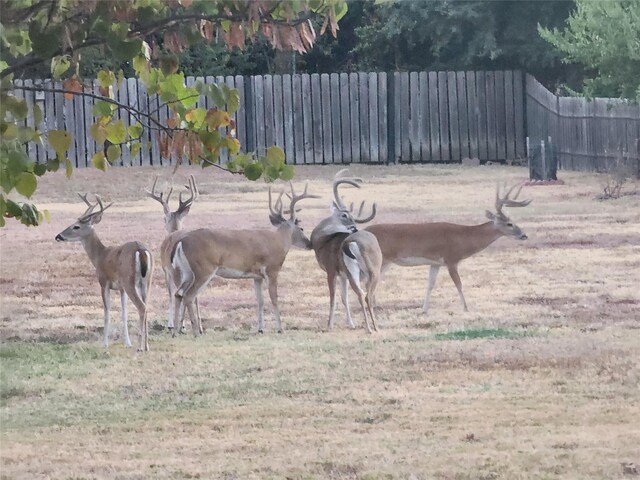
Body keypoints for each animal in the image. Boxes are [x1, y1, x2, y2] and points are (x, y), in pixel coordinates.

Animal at [54, 193, 153, 350]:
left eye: (76, 226)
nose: (58, 236)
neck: (100, 255)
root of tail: (141, 250)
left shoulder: (104, 282)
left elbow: (107, 312)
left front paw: (105, 343)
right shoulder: (121, 288)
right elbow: (124, 313)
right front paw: (127, 342)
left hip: (129, 280)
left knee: (142, 307)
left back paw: (139, 347)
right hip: (147, 281)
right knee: (147, 306)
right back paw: (147, 345)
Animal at [168, 182, 318, 336]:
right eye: (301, 228)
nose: (309, 244)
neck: (279, 241)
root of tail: (181, 241)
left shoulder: (257, 276)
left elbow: (260, 300)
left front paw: (261, 329)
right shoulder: (272, 269)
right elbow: (274, 298)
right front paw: (280, 329)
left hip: (187, 271)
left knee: (178, 294)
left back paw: (176, 332)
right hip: (203, 269)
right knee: (188, 296)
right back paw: (196, 332)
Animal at [310, 171, 380, 332]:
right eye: (344, 215)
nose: (354, 228)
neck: (322, 241)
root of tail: (352, 242)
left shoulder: (331, 270)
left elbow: (333, 298)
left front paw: (329, 325)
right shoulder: (343, 274)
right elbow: (344, 298)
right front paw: (351, 323)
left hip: (354, 269)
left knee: (362, 293)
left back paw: (369, 328)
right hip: (370, 270)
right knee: (367, 294)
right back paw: (375, 327)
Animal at [364, 181, 528, 316]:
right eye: (509, 224)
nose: (524, 235)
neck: (463, 238)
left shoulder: (435, 263)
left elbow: (430, 285)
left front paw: (424, 309)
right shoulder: (451, 259)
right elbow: (459, 284)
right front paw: (466, 308)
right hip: (382, 259)